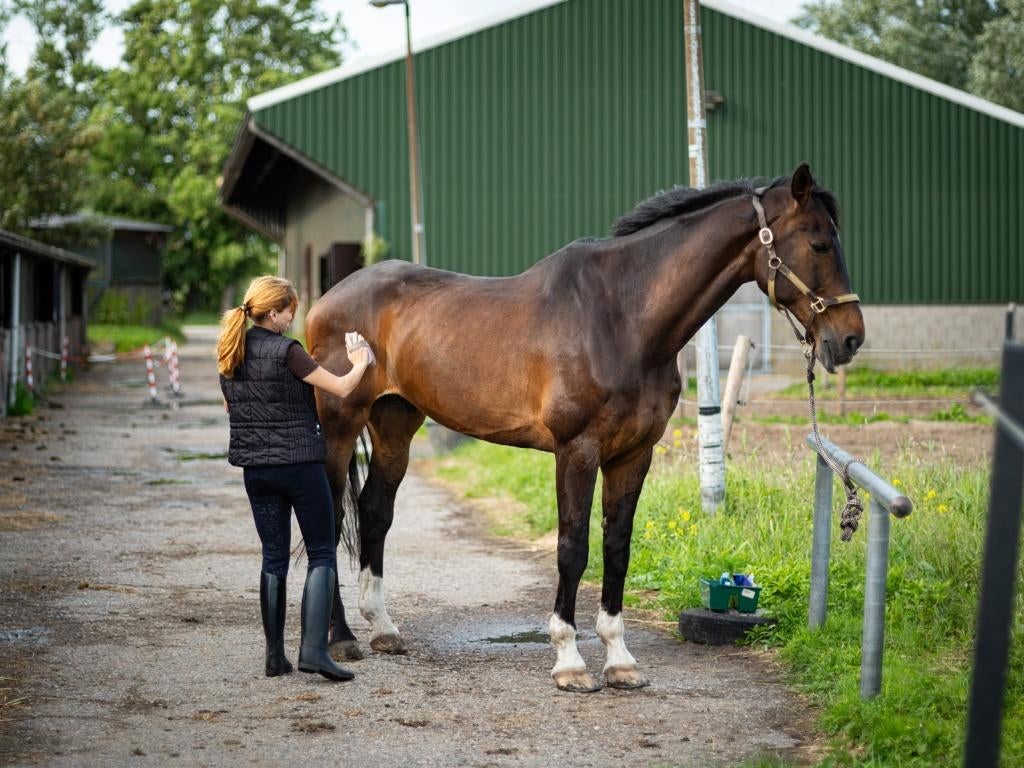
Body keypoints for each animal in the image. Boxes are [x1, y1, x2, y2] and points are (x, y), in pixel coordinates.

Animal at [306, 163, 865, 692]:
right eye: (818, 243)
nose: (850, 339)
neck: (622, 317)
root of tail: (329, 298)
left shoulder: (634, 454)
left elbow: (617, 548)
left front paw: (620, 661)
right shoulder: (577, 450)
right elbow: (572, 549)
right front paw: (570, 662)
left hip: (396, 424)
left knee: (375, 511)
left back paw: (382, 629)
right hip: (339, 426)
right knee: (329, 518)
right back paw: (342, 638)